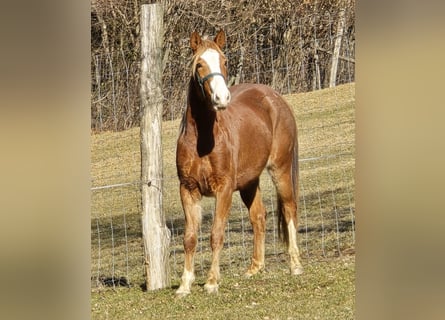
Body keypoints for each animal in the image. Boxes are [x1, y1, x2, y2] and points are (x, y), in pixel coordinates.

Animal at [173, 29, 302, 296]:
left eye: (224, 61)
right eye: (199, 64)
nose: (222, 98)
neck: (202, 139)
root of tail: (274, 97)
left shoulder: (223, 189)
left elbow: (216, 234)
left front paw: (211, 282)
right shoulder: (188, 189)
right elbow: (189, 237)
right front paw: (185, 284)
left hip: (281, 170)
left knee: (289, 209)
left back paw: (295, 265)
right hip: (249, 182)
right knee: (259, 216)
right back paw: (255, 268)